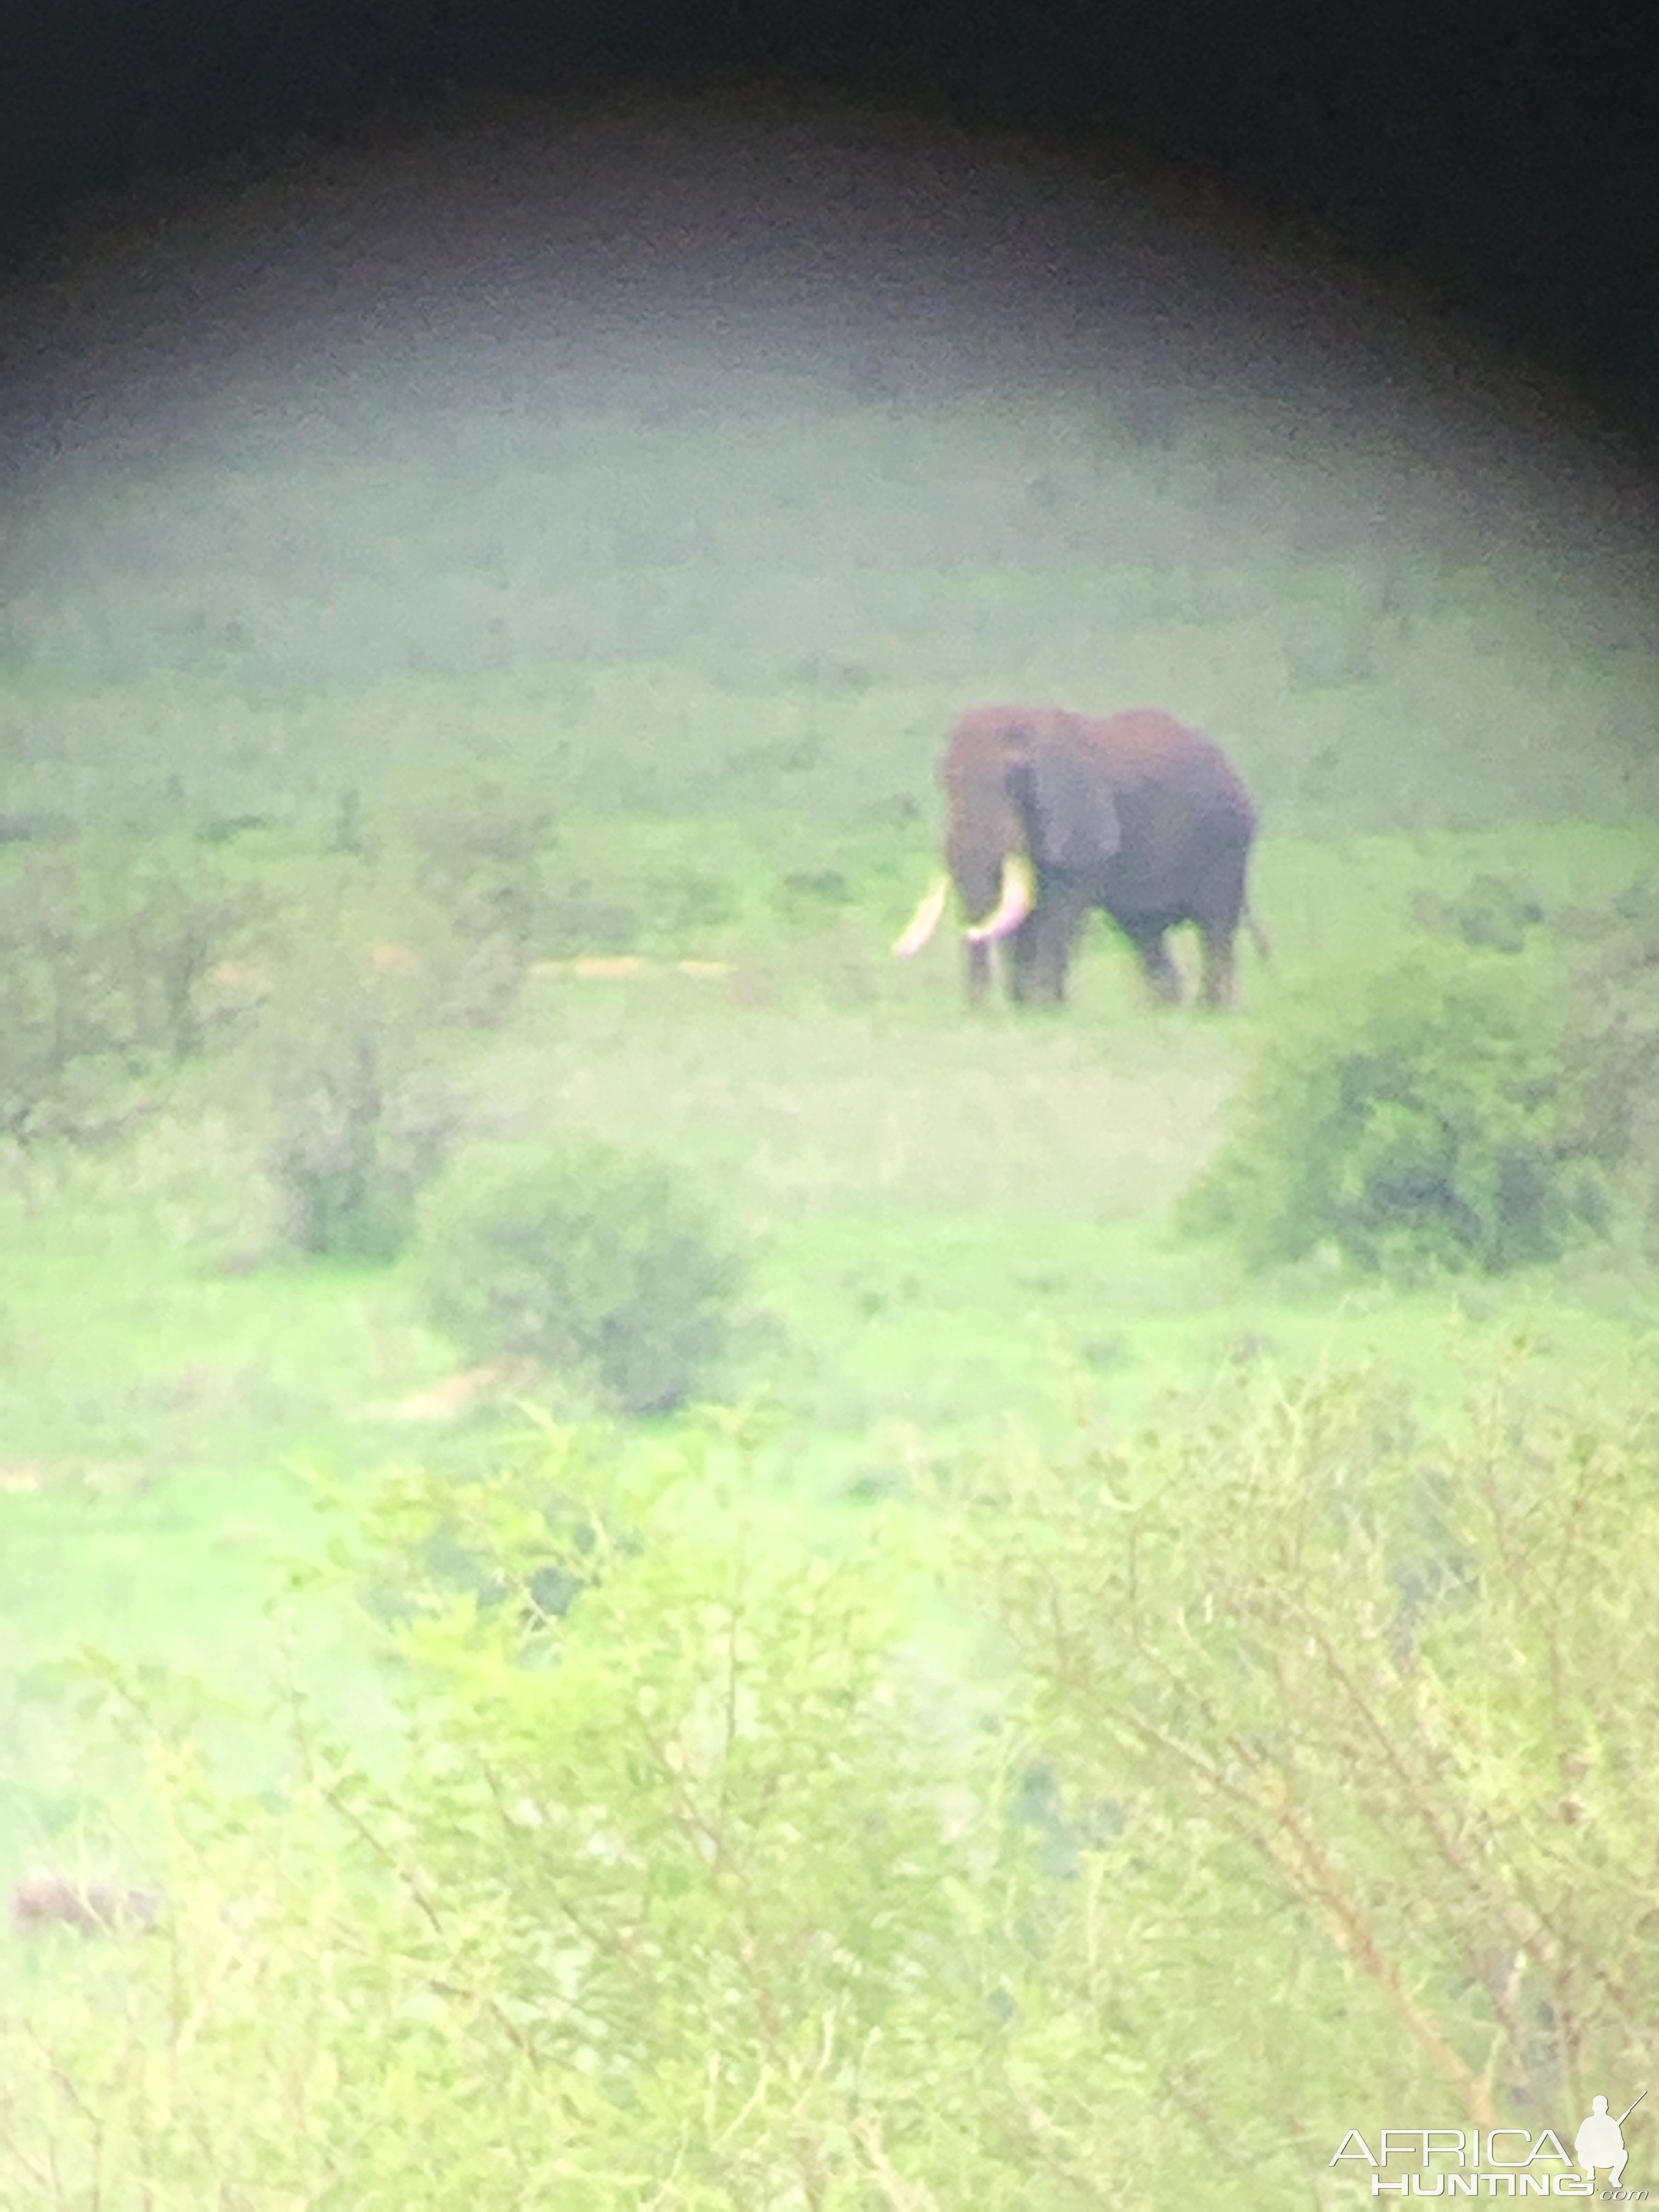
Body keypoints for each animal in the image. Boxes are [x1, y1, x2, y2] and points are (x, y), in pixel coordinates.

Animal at [898, 703, 1274, 1008]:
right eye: (945, 783)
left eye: (1015, 781)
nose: (977, 1011)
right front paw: (1026, 1007)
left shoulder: (1083, 822)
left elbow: (1060, 910)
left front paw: (1044, 1008)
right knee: (1145, 931)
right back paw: (1166, 1009)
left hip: (1228, 846)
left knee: (1215, 926)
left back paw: (1210, 1010)